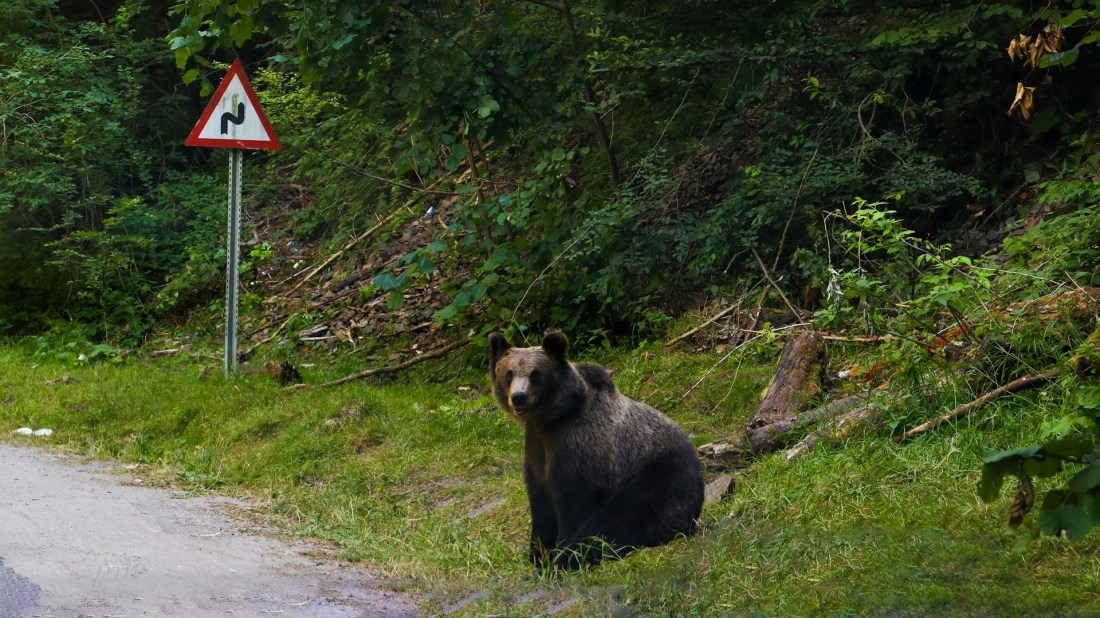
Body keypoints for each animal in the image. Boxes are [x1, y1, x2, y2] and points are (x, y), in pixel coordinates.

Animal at [489, 330, 705, 571]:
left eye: (535, 373)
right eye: (509, 373)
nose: (519, 396)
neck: (550, 419)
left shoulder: (579, 449)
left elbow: (575, 505)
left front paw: (560, 557)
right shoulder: (537, 449)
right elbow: (541, 506)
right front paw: (539, 555)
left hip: (657, 479)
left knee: (619, 521)